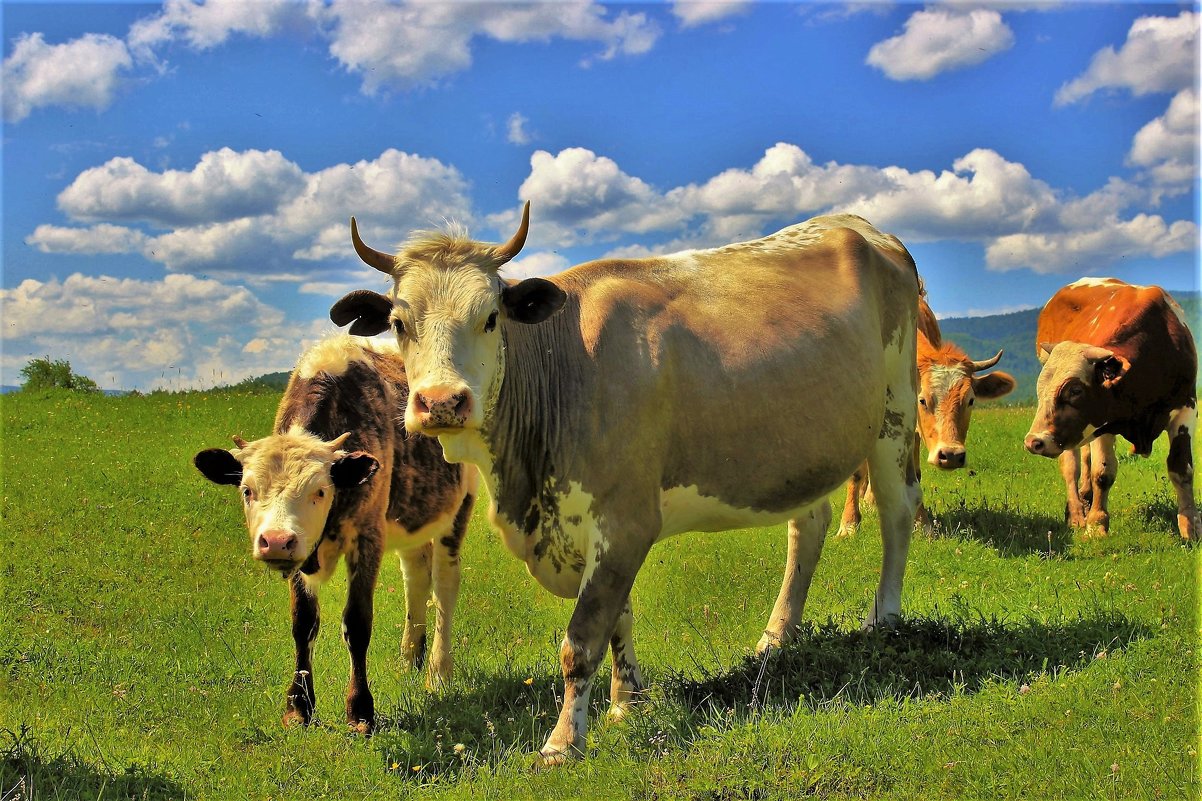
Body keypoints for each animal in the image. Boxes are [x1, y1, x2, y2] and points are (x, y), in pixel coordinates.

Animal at [193, 329, 473, 731]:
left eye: (320, 491)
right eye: (247, 490)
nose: (274, 541)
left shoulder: (368, 536)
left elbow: (357, 622)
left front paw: (360, 709)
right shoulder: (301, 551)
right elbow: (303, 622)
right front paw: (298, 705)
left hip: (459, 506)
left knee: (445, 587)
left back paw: (438, 672)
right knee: (416, 579)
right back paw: (409, 661)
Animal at [334, 203, 923, 760]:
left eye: (490, 318)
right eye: (399, 323)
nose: (441, 402)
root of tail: (859, 225)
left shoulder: (625, 522)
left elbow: (582, 638)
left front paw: (563, 743)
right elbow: (619, 619)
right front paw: (627, 702)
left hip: (896, 410)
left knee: (898, 511)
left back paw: (883, 618)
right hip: (802, 448)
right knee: (809, 525)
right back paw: (775, 639)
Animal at [1019, 279, 1197, 536]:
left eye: (1075, 390)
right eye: (1040, 389)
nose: (1033, 441)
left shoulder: (1186, 408)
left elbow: (1182, 469)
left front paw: (1191, 527)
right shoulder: (1103, 425)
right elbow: (1102, 473)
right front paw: (1096, 524)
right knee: (1071, 466)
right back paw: (1076, 514)